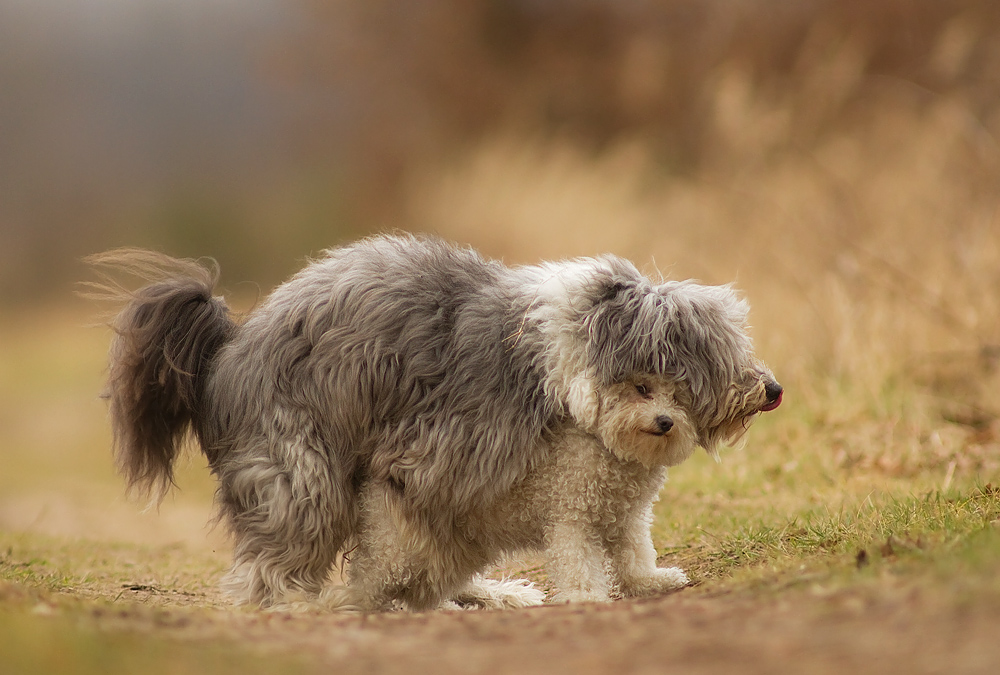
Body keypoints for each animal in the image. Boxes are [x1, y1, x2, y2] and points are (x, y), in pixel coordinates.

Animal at [88, 234, 780, 612]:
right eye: (710, 355)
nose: (772, 390)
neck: (570, 352)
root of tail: (225, 350)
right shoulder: (463, 455)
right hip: (303, 473)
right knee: (273, 565)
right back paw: (305, 601)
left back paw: (491, 595)